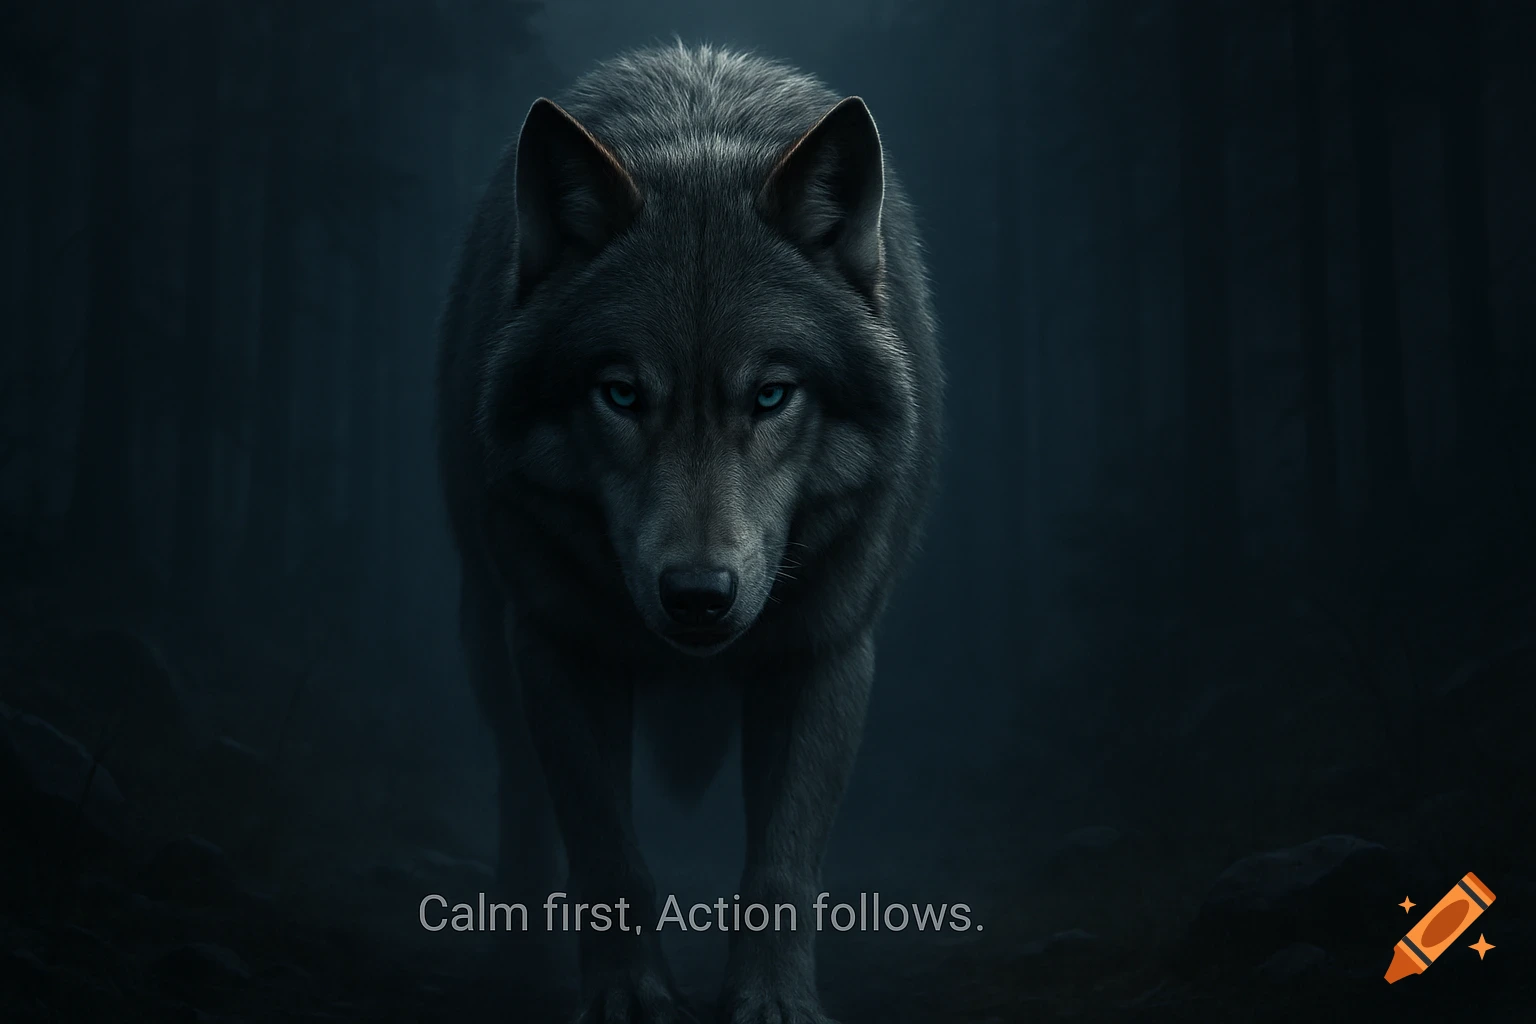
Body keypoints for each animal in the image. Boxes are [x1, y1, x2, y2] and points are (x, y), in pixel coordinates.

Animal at [435, 43, 943, 1024]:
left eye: (771, 395)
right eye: (622, 393)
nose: (698, 598)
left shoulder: (824, 650)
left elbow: (782, 862)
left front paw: (773, 1003)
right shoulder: (556, 643)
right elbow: (605, 846)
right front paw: (629, 995)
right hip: (487, 625)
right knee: (521, 787)